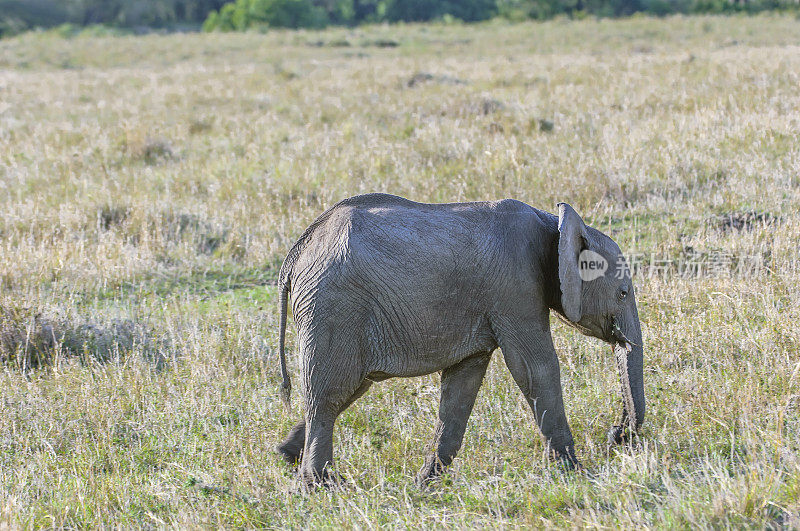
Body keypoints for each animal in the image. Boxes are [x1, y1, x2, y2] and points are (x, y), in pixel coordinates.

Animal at [276, 194, 644, 486]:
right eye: (623, 293)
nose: (618, 435)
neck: (554, 225)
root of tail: (294, 255)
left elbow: (462, 385)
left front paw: (425, 483)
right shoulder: (516, 287)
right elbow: (534, 368)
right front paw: (578, 474)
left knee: (346, 390)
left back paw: (288, 454)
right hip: (332, 308)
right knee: (328, 395)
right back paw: (322, 485)